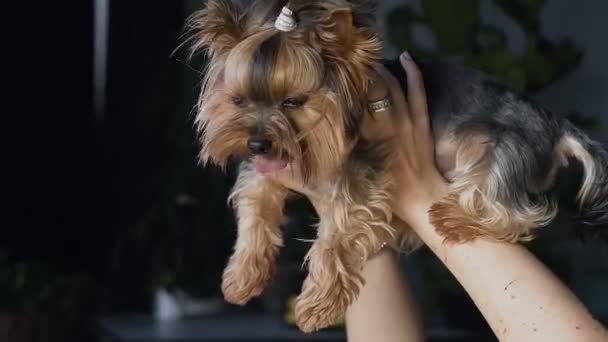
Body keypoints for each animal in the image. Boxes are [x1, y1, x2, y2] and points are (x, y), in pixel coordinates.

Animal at [185, 0, 608, 332]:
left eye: (294, 102)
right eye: (239, 101)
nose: (257, 143)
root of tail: (556, 125)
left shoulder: (356, 176)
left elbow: (333, 239)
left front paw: (317, 305)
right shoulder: (264, 172)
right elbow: (254, 208)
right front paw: (242, 276)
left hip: (494, 144)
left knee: (515, 212)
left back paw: (453, 217)